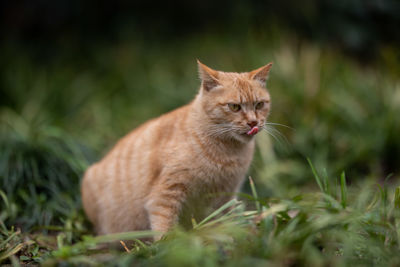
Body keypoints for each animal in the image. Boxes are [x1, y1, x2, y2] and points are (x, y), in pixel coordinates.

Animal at [80, 60, 272, 241]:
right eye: (234, 107)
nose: (253, 122)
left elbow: (224, 223)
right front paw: (166, 247)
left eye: (259, 105)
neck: (229, 151)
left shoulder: (225, 197)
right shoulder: (165, 195)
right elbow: (164, 227)